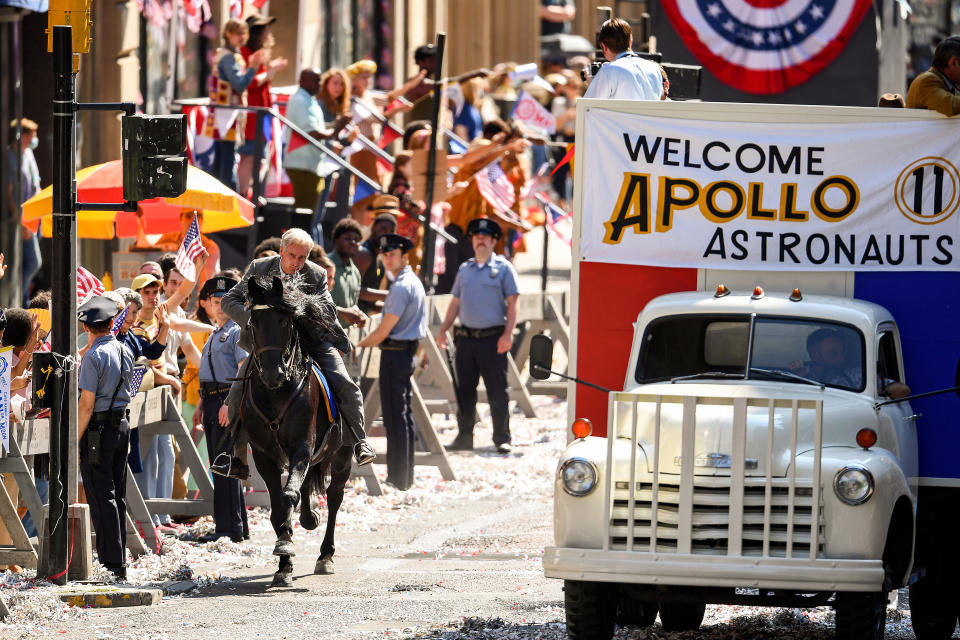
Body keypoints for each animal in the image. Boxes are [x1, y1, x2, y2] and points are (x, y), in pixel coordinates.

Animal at [242, 274, 354, 584]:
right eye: (254, 322)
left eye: (285, 322)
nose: (272, 373)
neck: (276, 393)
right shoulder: (264, 455)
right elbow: (279, 506)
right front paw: (284, 560)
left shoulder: (302, 445)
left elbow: (289, 494)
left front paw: (286, 546)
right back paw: (307, 519)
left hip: (342, 455)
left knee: (334, 497)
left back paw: (325, 555)